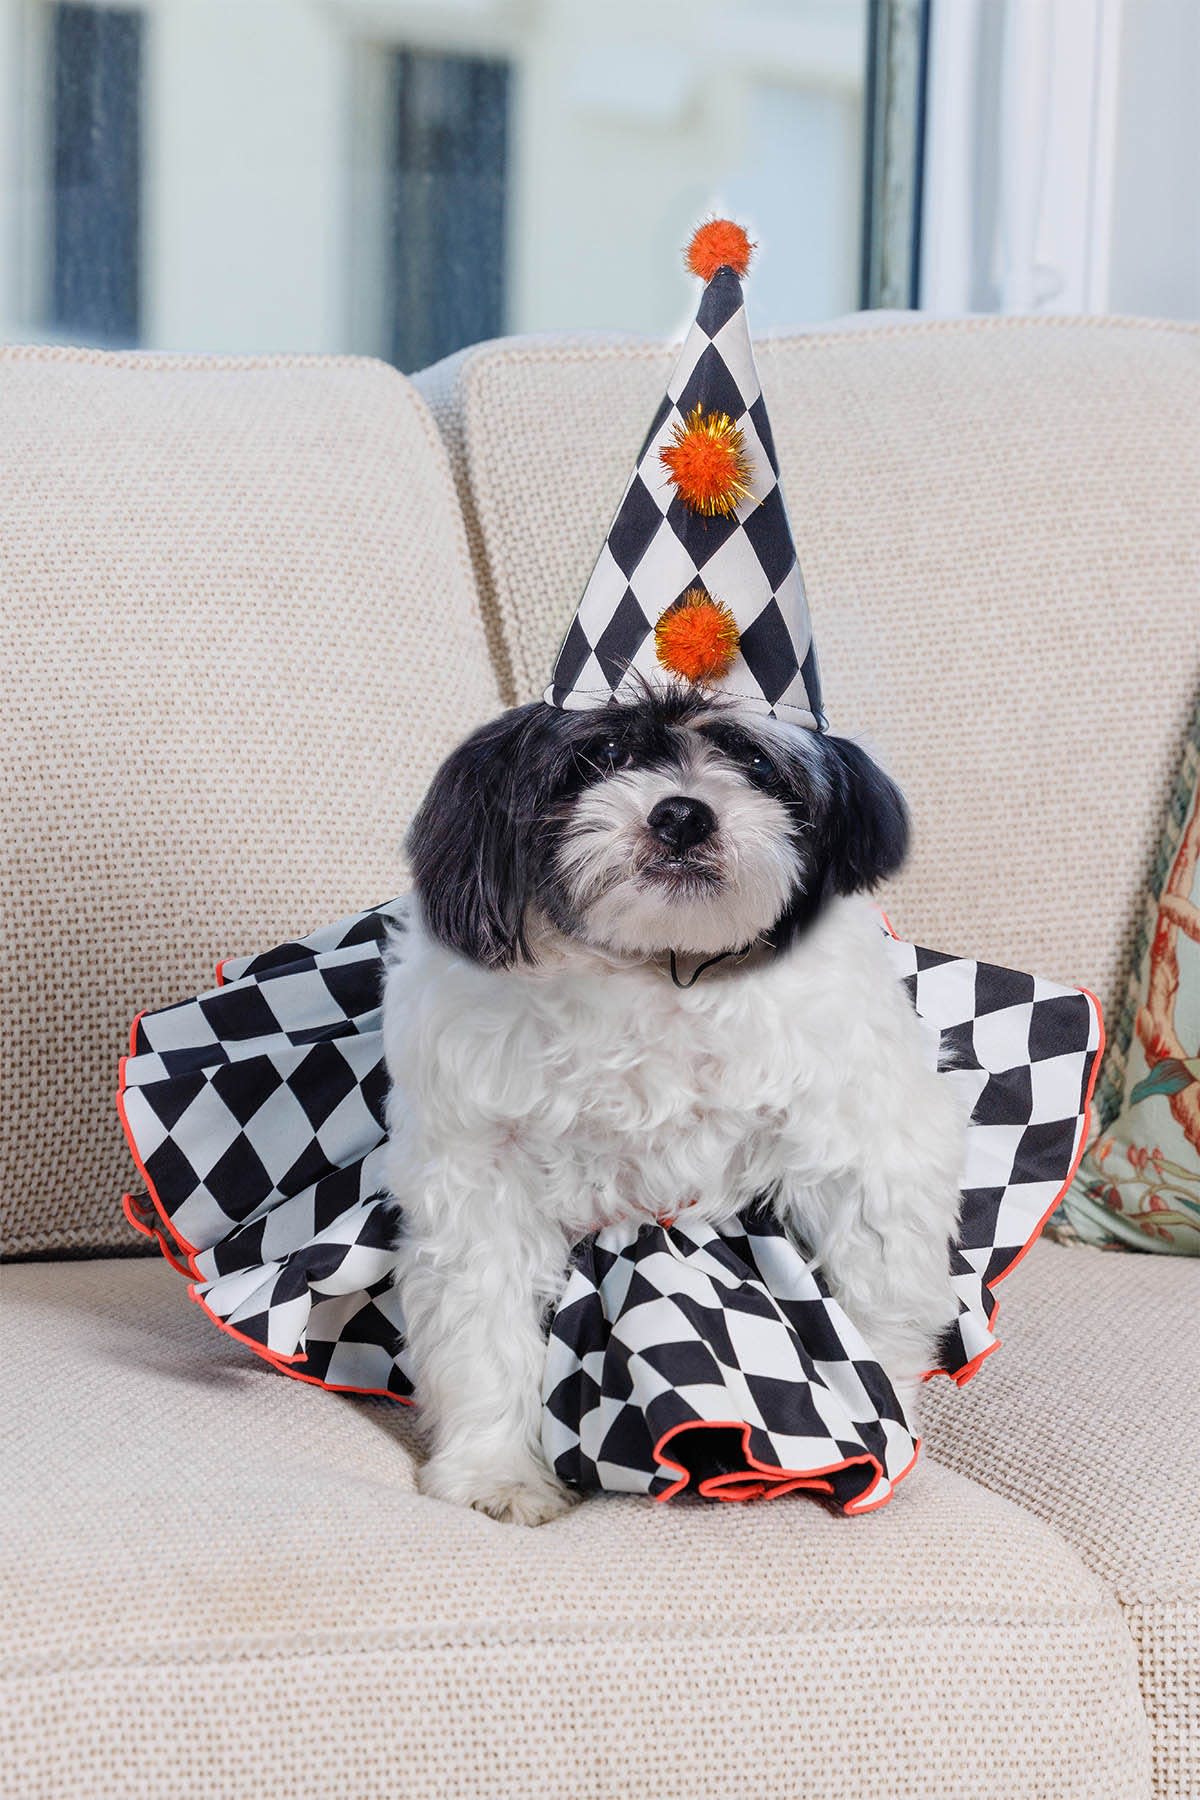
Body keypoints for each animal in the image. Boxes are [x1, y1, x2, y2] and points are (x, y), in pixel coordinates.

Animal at [385, 684, 964, 1519]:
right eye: (604, 753)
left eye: (755, 760)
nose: (683, 814)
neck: (657, 970)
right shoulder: (479, 1180)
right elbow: (481, 1326)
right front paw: (494, 1472)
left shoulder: (865, 1150)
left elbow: (878, 1308)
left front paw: (874, 1429)